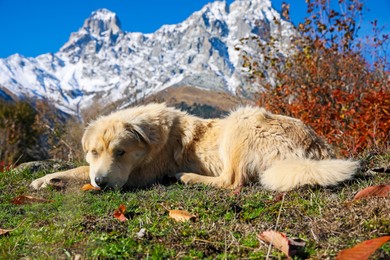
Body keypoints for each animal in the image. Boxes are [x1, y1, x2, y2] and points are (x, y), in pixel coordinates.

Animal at [31, 103, 360, 191]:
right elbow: (81, 168)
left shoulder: (138, 176)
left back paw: (186, 177)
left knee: (232, 182)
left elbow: (78, 170)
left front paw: (48, 179)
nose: (100, 183)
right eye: (94, 151)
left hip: (241, 120)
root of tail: (315, 149)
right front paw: (46, 178)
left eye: (120, 153)